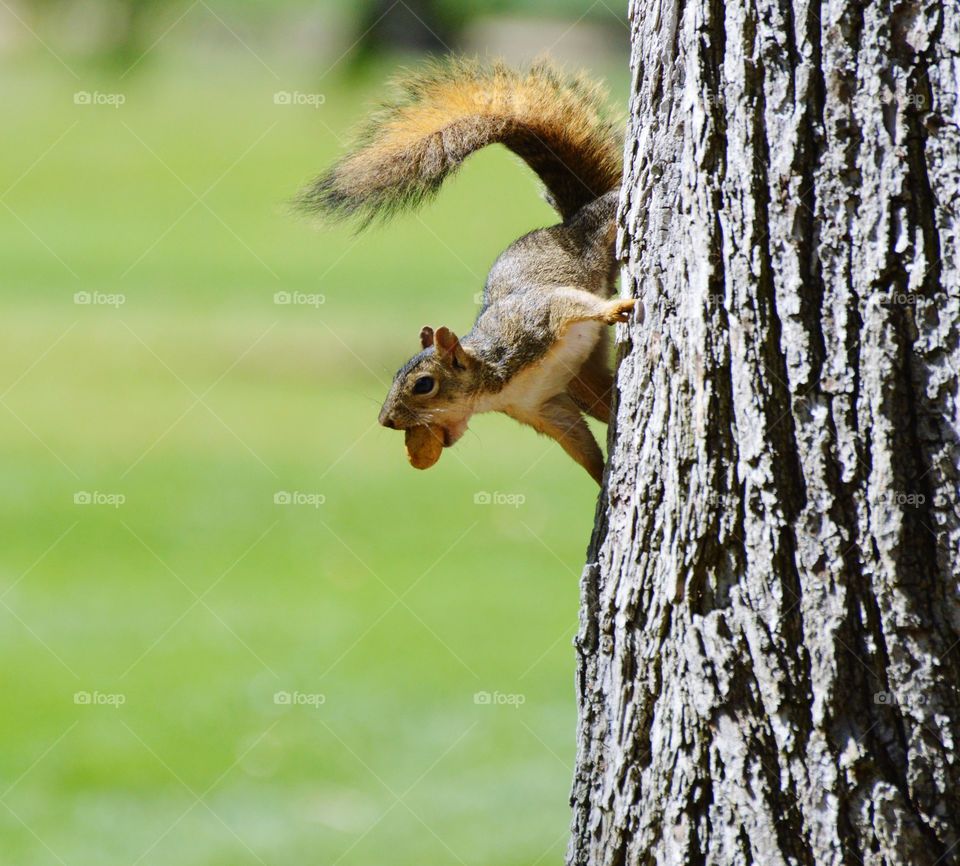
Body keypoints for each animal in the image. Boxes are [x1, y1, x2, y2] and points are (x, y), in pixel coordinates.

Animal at [298, 58, 634, 485]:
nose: (386, 420)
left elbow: (566, 303)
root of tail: (568, 223)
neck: (493, 380)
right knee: (600, 398)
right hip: (583, 378)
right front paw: (601, 479)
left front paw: (614, 309)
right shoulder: (541, 406)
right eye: (394, 377)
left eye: (424, 385)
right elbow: (575, 439)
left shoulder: (532, 322)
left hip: (596, 231)